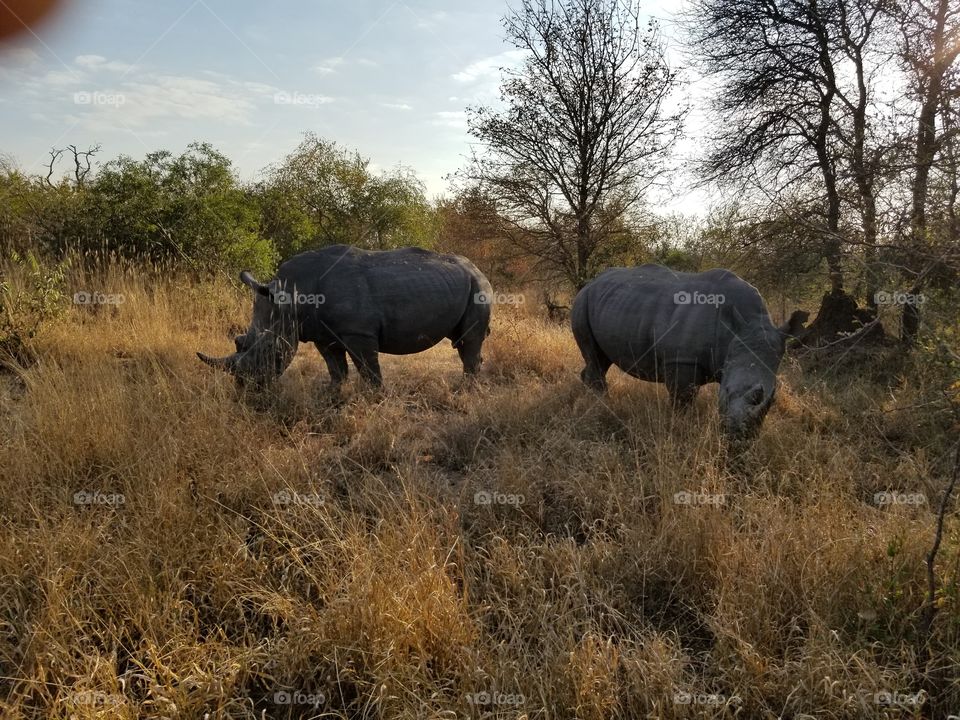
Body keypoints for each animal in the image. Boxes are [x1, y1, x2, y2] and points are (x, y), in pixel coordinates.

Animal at [198, 245, 493, 389]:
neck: (291, 296)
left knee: (469, 340)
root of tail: (478, 268)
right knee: (462, 341)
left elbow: (369, 370)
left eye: (271, 351)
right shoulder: (320, 333)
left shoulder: (358, 332)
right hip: (460, 284)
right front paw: (332, 396)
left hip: (479, 286)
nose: (247, 389)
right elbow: (335, 368)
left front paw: (376, 399)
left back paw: (464, 390)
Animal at [571, 265, 806, 440]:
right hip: (582, 302)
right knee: (595, 358)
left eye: (772, 400)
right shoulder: (681, 361)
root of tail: (590, 283)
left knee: (600, 360)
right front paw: (680, 430)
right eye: (727, 391)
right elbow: (682, 402)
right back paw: (601, 406)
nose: (738, 436)